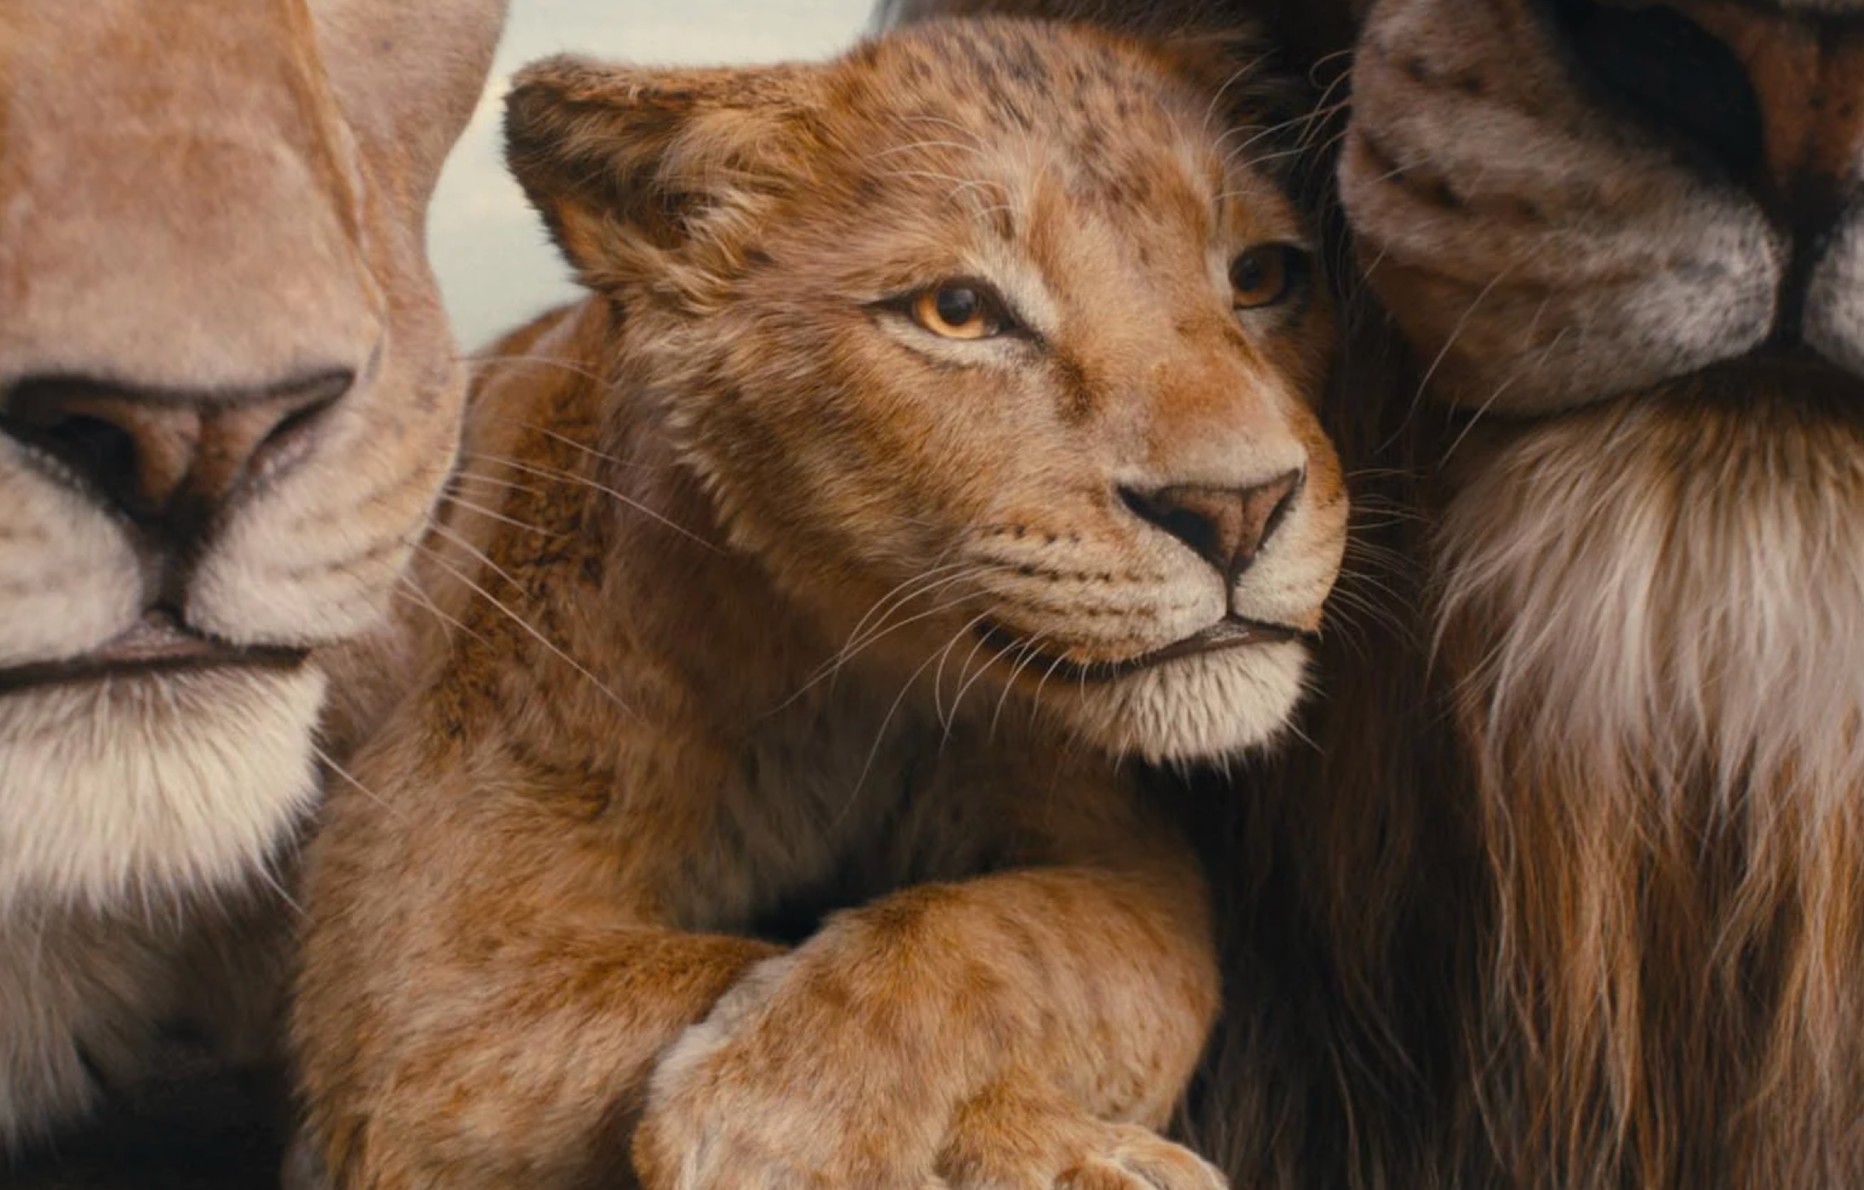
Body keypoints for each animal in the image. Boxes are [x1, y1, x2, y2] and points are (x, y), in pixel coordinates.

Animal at [288, 17, 1347, 1189]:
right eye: (957, 312)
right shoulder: (420, 974)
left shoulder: (1126, 861)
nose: (1238, 509)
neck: (843, 677)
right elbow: (696, 967)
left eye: (1262, 274)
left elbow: (1025, 938)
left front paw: (794, 1098)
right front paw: (801, 1123)